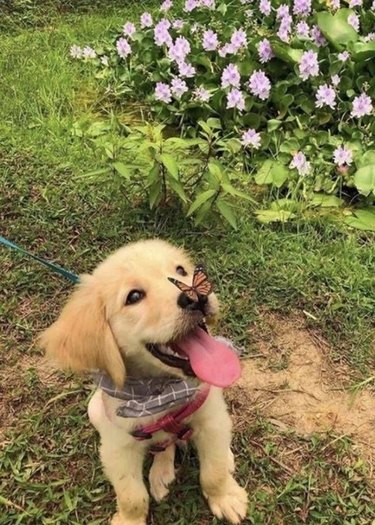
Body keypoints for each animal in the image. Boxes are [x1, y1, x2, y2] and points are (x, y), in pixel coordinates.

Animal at [41, 239, 248, 520]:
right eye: (134, 296)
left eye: (181, 271)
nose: (197, 296)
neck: (160, 392)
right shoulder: (117, 447)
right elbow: (132, 496)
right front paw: (128, 520)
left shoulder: (211, 418)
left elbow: (213, 472)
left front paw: (225, 497)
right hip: (94, 409)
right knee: (162, 445)